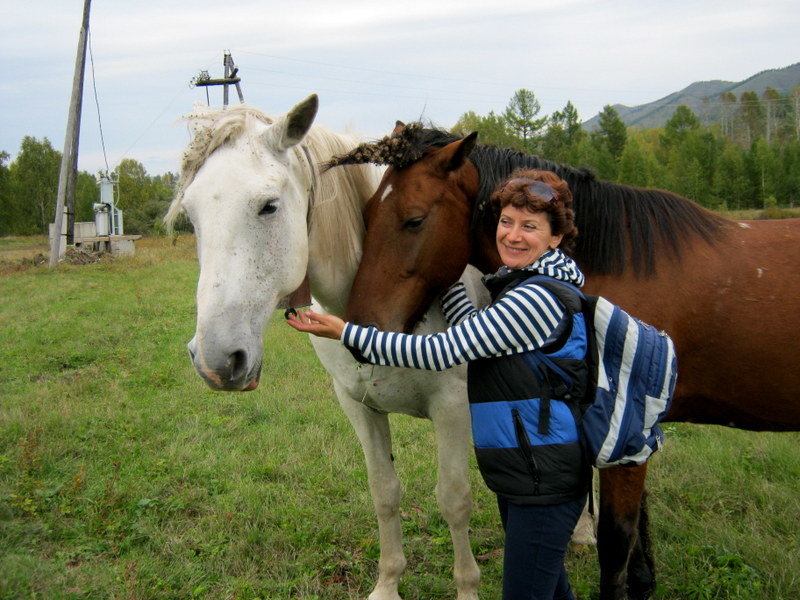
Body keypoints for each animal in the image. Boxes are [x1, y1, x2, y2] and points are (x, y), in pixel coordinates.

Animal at [328, 124, 800, 596]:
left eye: (414, 220)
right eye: (366, 215)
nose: (360, 325)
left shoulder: (625, 434)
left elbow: (616, 539)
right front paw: (644, 582)